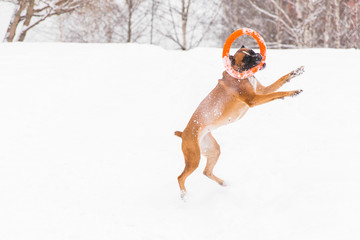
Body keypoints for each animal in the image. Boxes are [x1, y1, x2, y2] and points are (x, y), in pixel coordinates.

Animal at [174, 46, 304, 198]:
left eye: (252, 51)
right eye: (246, 58)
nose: (259, 56)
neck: (241, 74)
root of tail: (183, 133)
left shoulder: (262, 91)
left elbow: (280, 80)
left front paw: (296, 72)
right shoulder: (254, 99)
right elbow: (277, 93)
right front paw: (292, 92)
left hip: (213, 150)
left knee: (206, 172)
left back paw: (223, 183)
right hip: (193, 158)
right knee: (180, 177)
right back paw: (184, 196)